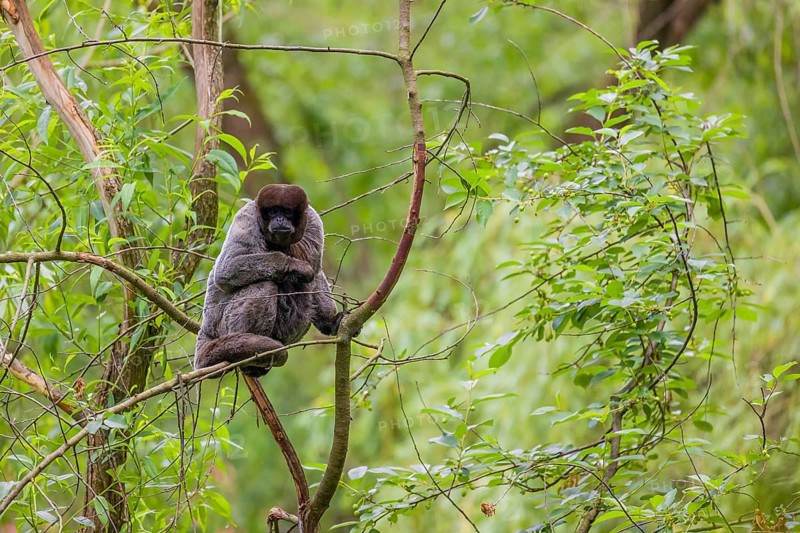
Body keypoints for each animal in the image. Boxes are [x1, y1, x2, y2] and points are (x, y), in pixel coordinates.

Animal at [194, 184, 343, 377]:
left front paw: (330, 321)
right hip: (222, 325)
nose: (279, 219)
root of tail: (206, 329)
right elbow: (226, 270)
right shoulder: (247, 217)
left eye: (287, 212)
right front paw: (292, 265)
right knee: (264, 284)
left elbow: (316, 272)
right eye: (273, 212)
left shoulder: (313, 220)